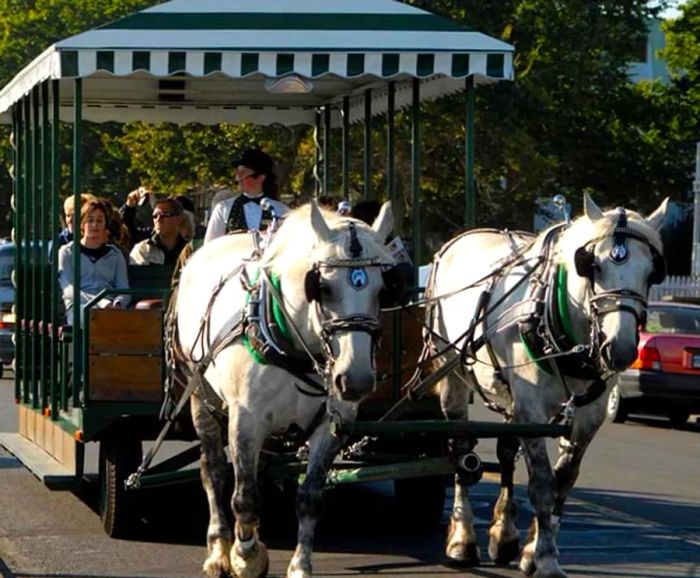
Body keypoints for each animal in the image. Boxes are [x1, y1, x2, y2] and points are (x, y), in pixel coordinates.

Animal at [426, 194, 668, 576]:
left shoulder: (588, 415)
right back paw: (462, 541)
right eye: (592, 266)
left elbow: (563, 480)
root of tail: (462, 237)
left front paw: (530, 549)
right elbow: (541, 484)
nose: (620, 349)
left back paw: (504, 535)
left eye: (651, 271)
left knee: (505, 453)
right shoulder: (532, 410)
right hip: (452, 376)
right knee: (462, 452)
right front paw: (546, 558)